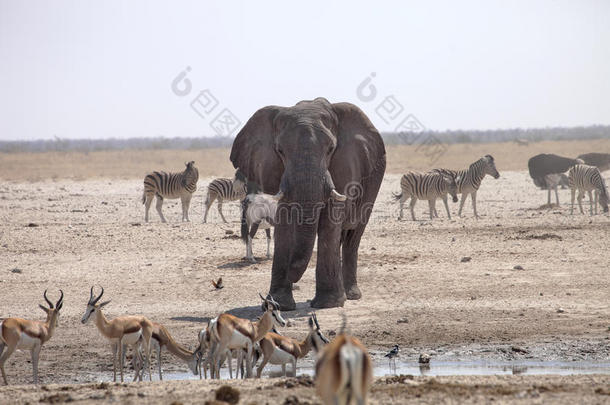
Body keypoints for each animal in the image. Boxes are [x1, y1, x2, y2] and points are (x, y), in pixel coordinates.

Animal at [229, 96, 384, 308]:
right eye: (280, 150)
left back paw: (351, 295)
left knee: (353, 234)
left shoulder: (344, 166)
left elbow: (330, 222)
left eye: (330, 149)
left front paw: (329, 303)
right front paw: (279, 304)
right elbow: (285, 224)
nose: (295, 281)